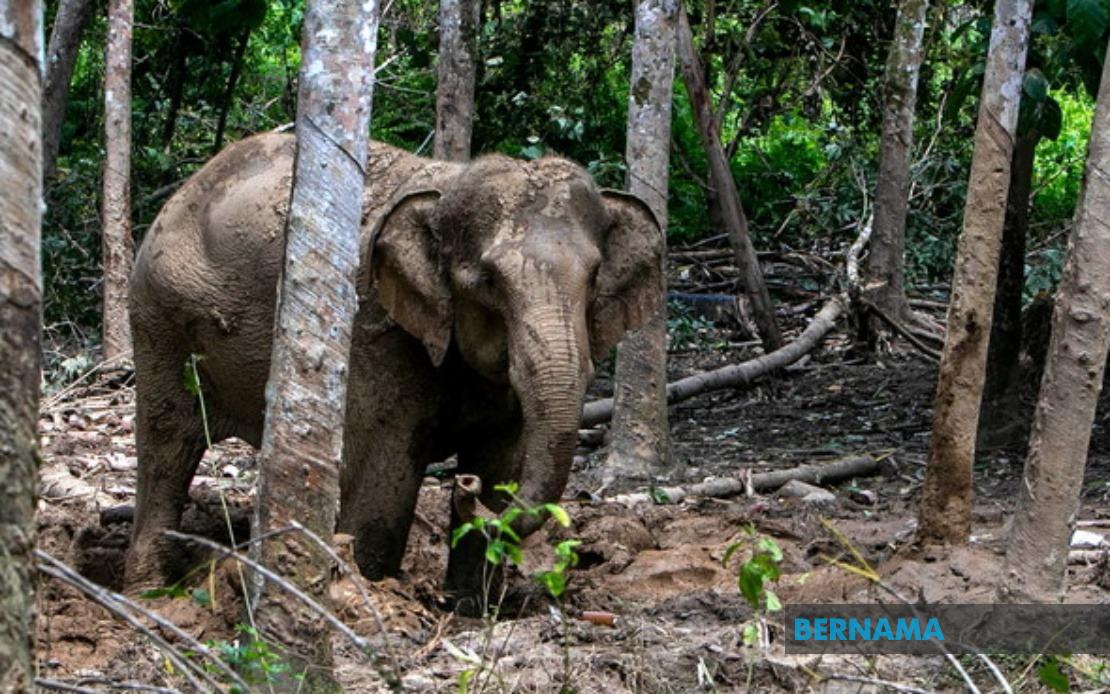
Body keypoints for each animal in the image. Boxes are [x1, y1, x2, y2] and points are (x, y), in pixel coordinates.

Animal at [124, 132, 663, 604]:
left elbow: (501, 459)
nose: (463, 487)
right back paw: (148, 591)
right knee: (167, 446)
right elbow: (386, 474)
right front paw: (367, 589)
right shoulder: (373, 329)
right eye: (487, 281)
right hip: (159, 320)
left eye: (594, 276)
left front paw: (469, 607)